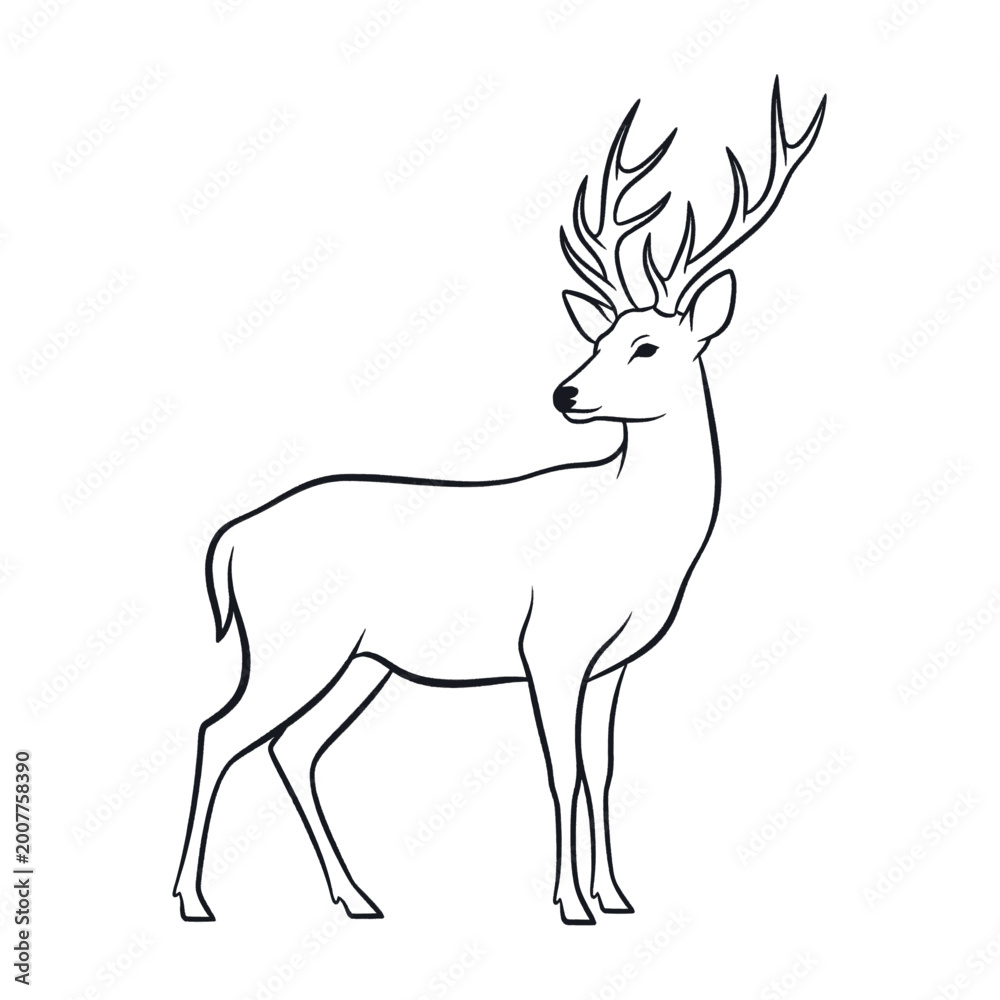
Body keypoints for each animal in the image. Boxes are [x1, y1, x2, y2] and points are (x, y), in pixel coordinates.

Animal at [173, 78, 826, 925]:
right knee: (220, 731)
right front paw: (571, 903)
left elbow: (601, 769)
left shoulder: (611, 665)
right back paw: (193, 898)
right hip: (293, 645)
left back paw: (355, 896)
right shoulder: (548, 646)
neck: (637, 540)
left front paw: (617, 896)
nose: (566, 393)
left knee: (293, 746)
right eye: (599, 338)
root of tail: (230, 539)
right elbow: (561, 771)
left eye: (646, 345)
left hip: (361, 661)